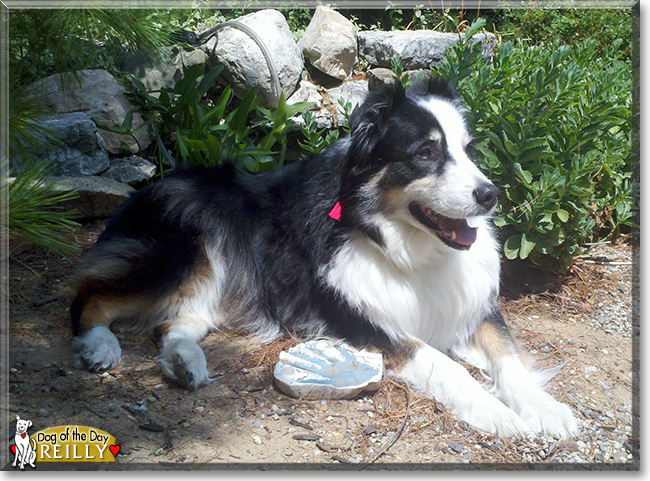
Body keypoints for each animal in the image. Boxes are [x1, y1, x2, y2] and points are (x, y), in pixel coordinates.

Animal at [71, 79, 576, 438]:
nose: (490, 195)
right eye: (425, 152)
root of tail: (143, 193)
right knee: (89, 295)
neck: (403, 244)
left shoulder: (474, 309)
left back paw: (185, 361)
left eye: (469, 151)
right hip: (188, 249)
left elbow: (509, 356)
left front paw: (545, 409)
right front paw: (498, 413)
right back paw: (100, 346)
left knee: (170, 324)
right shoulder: (369, 324)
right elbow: (444, 363)